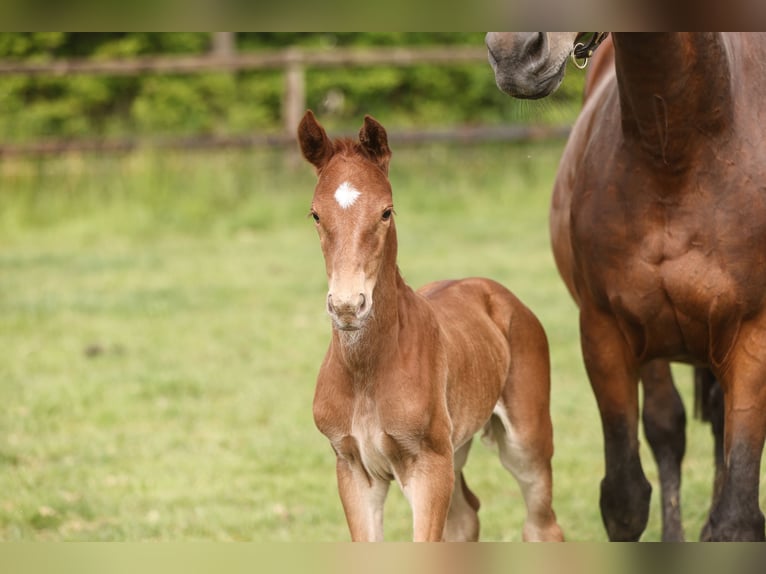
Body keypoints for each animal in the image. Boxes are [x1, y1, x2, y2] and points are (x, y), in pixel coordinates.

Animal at [297, 110, 564, 542]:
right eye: (316, 214)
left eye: (386, 211)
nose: (348, 306)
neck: (367, 371)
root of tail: (496, 292)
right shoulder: (353, 468)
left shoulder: (428, 466)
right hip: (455, 450)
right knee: (465, 517)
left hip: (525, 442)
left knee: (542, 523)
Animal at [485, 32, 766, 542]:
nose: (513, 54)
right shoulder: (607, 333)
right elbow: (625, 499)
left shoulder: (755, 337)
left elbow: (736, 517)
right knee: (668, 428)